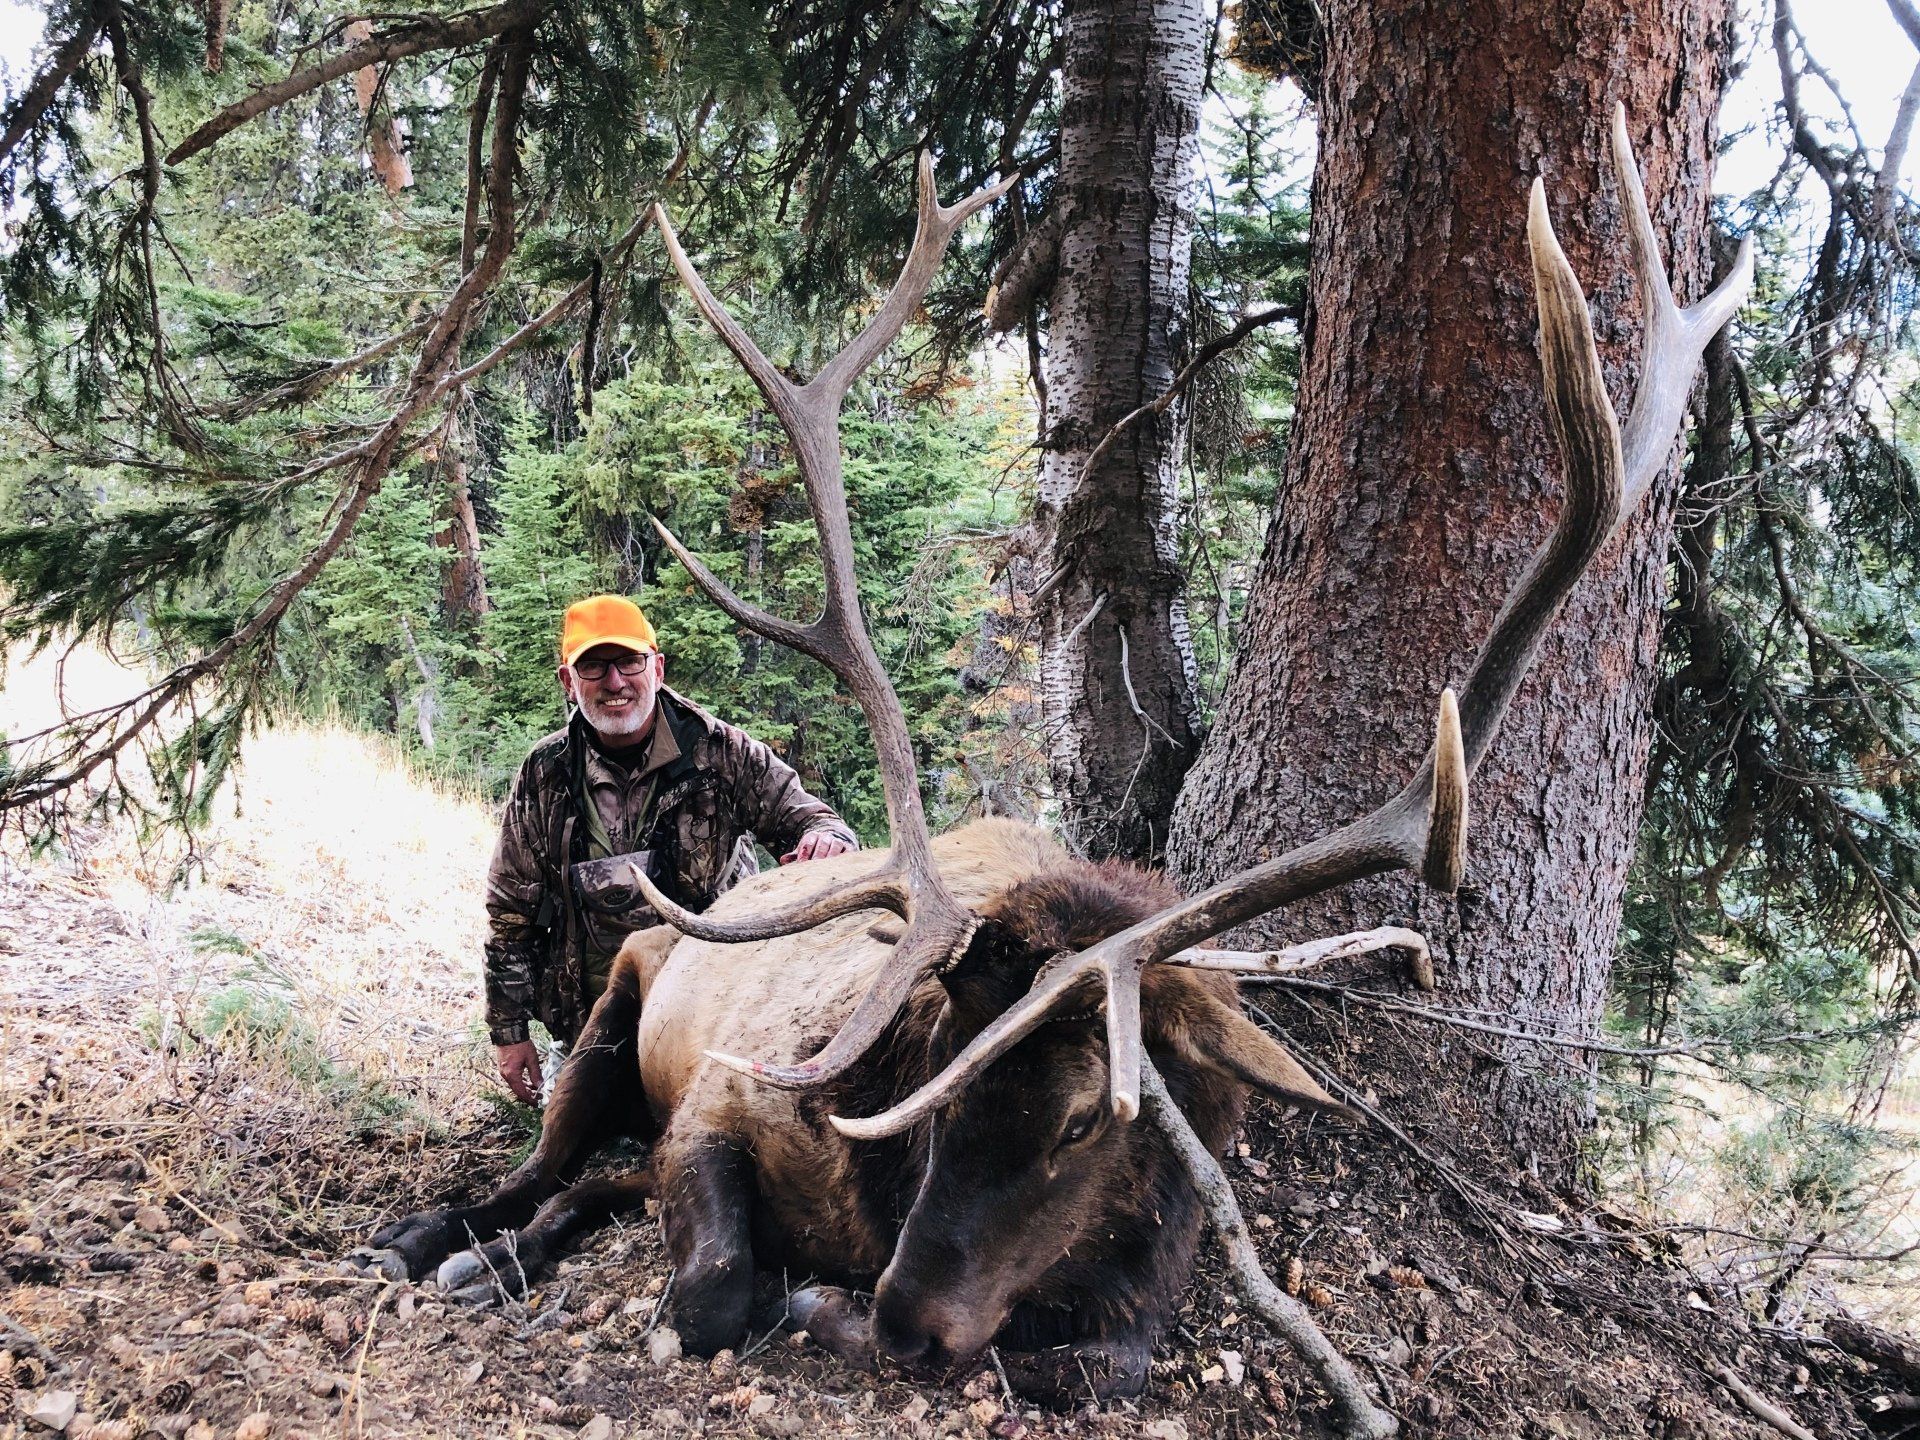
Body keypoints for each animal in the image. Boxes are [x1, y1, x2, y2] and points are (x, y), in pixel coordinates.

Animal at [352, 109, 1750, 1437]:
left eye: (1092, 1115)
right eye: (942, 1063)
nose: (911, 1317)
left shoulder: (1156, 1271)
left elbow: (1096, 1366)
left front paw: (855, 1307)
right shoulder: (725, 1107)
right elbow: (716, 1292)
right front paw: (794, 1292)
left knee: (599, 1178)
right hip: (613, 1006)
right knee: (547, 1164)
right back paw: (439, 1241)